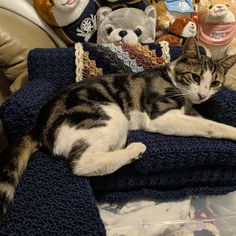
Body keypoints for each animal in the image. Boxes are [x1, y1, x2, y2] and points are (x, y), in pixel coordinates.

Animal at [0, 37, 236, 219]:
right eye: (195, 77)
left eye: (215, 83)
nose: (202, 95)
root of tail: (38, 126)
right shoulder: (161, 117)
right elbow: (208, 125)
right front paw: (231, 130)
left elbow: (200, 117)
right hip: (110, 115)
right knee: (82, 164)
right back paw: (134, 149)